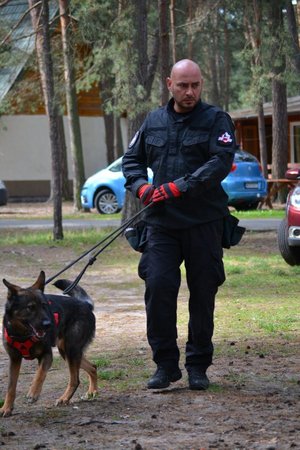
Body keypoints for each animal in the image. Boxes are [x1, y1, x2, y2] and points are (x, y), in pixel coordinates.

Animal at [0, 268, 98, 416]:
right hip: (67, 352)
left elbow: (40, 374)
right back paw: (92, 392)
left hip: (71, 351)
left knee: (75, 379)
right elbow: (11, 387)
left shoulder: (47, 355)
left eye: (44, 305)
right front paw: (6, 408)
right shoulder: (14, 360)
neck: (22, 335)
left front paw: (33, 393)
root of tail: (85, 305)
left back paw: (64, 398)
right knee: (93, 367)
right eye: (30, 307)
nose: (48, 324)